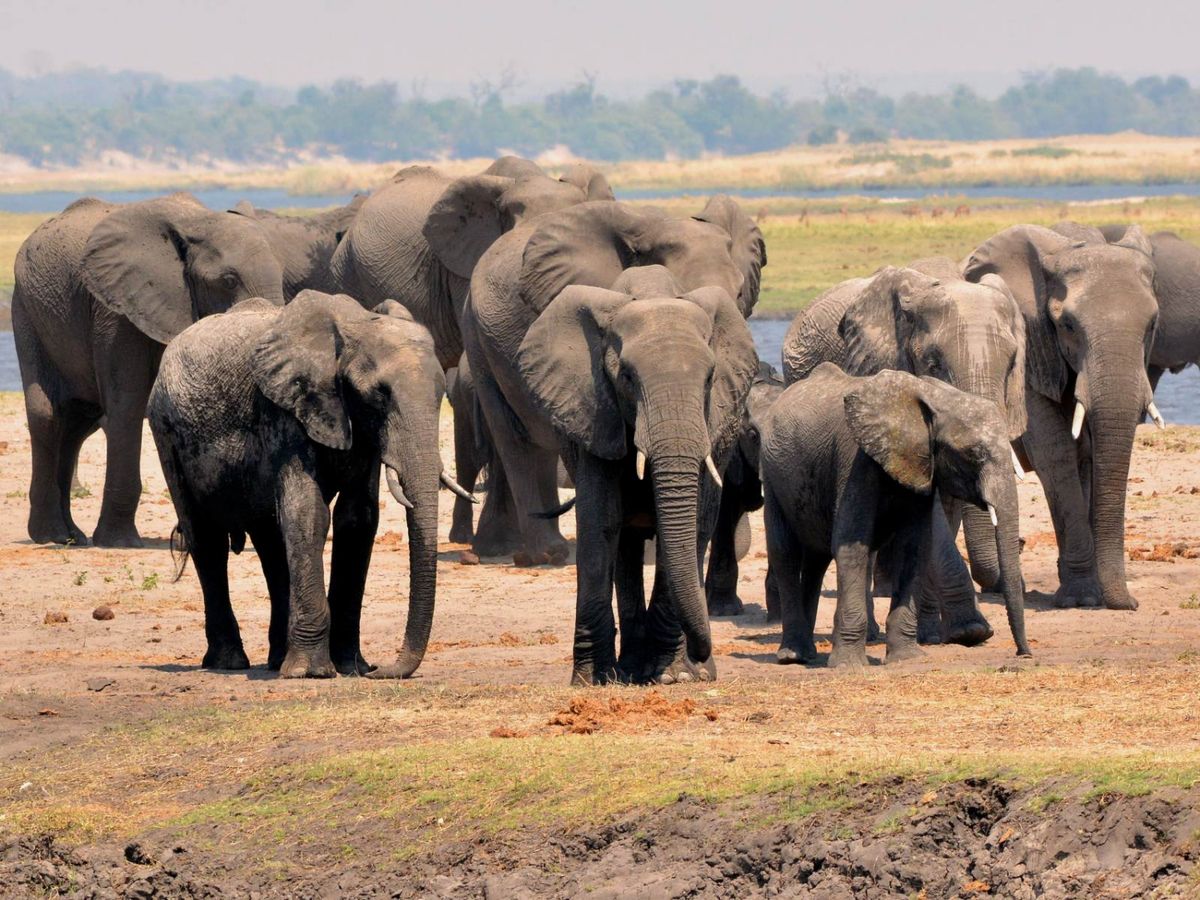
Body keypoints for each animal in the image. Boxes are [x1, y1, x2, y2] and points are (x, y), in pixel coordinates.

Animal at [12, 193, 285, 548]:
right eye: (228, 281)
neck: (196, 223)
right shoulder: (117, 314)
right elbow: (126, 406)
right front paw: (119, 543)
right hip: (26, 310)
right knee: (48, 414)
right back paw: (52, 536)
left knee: (77, 423)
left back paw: (73, 537)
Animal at [148, 291, 468, 678]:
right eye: (379, 394)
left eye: (441, 394)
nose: (380, 670)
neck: (352, 326)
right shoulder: (286, 410)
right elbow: (309, 513)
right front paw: (313, 673)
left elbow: (358, 519)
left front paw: (351, 667)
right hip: (166, 432)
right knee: (206, 539)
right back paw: (230, 662)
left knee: (270, 541)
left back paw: (276, 660)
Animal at [515, 272, 757, 684]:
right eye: (626, 377)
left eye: (710, 379)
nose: (700, 651)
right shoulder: (596, 413)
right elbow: (600, 523)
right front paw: (592, 679)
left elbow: (695, 523)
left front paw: (674, 676)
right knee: (625, 543)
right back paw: (629, 668)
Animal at [760, 364, 1031, 668]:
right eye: (974, 453)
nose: (1024, 654)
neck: (933, 397)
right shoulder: (855, 461)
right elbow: (851, 547)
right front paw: (848, 667)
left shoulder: (922, 471)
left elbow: (914, 548)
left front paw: (906, 659)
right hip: (772, 475)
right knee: (786, 553)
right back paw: (792, 656)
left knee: (816, 559)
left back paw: (807, 655)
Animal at [963, 223, 1159, 610]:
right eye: (1067, 324)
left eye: (1151, 325)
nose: (1129, 603)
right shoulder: (1031, 346)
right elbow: (1055, 453)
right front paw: (1081, 598)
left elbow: (1090, 452)